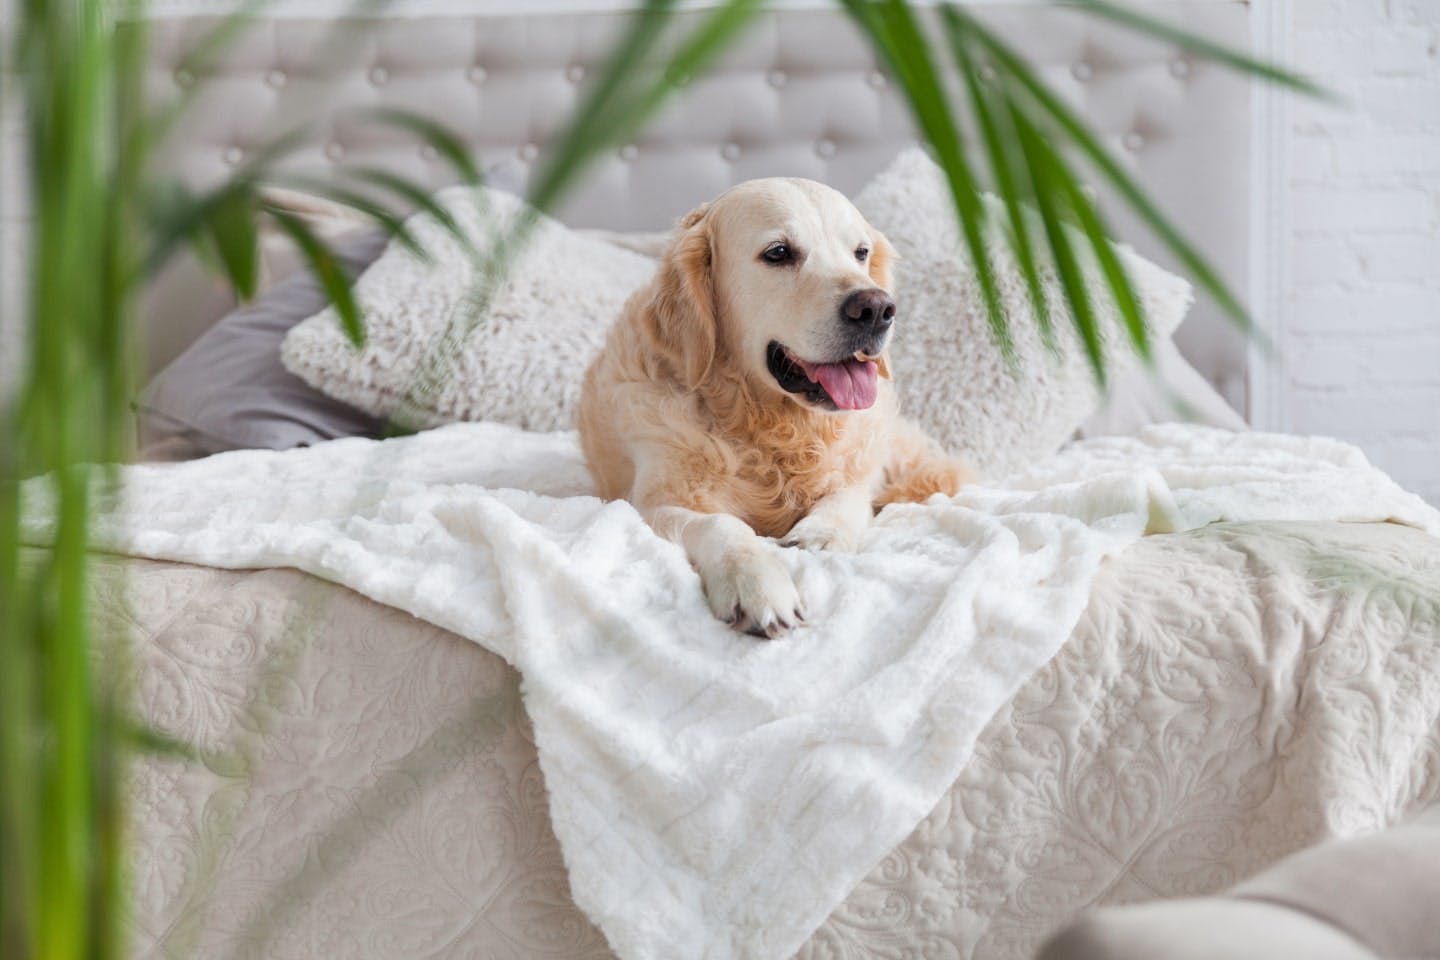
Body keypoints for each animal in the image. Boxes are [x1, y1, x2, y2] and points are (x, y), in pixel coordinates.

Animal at [578, 178, 973, 639]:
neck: (774, 427)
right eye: (778, 253)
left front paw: (821, 535)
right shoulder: (650, 504)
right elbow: (722, 524)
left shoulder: (855, 472)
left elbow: (850, 498)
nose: (876, 308)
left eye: (860, 252)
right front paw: (756, 584)